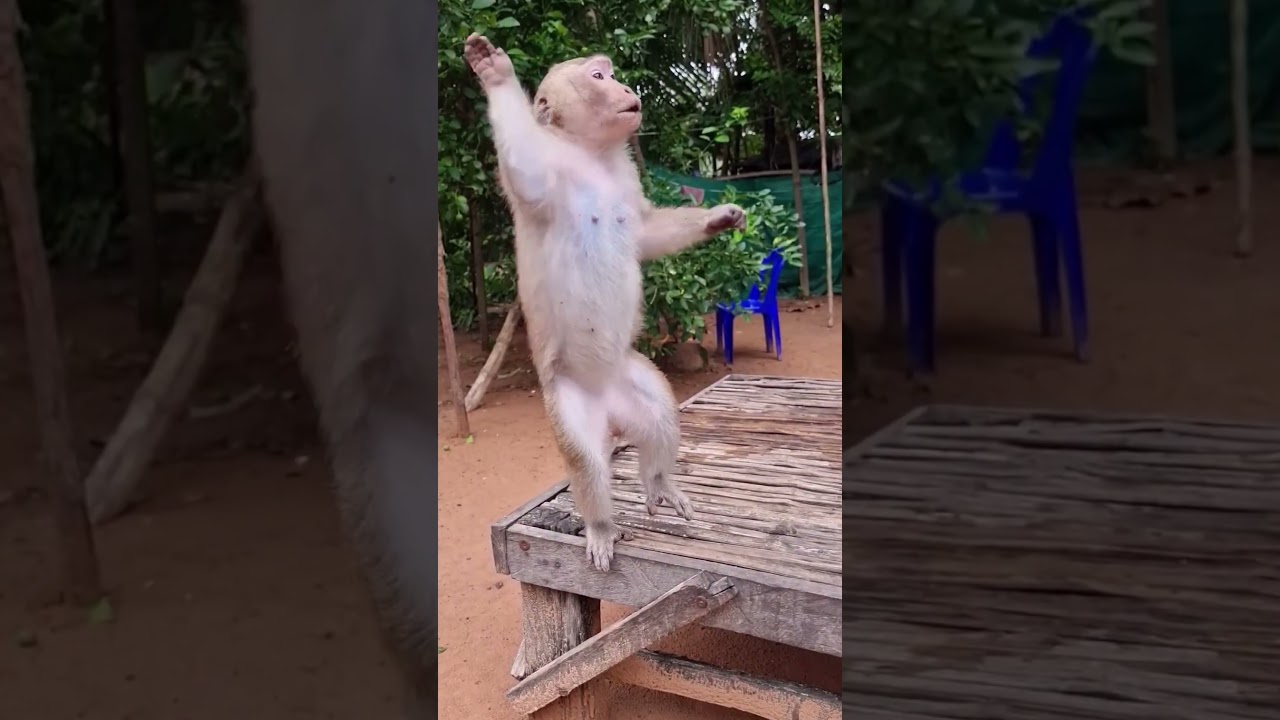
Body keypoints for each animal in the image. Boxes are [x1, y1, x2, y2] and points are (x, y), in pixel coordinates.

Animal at [465, 35, 747, 572]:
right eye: (598, 77)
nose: (627, 88)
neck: (590, 157)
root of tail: (608, 409)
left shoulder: (626, 179)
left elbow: (644, 234)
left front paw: (718, 218)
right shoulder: (546, 173)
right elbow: (525, 172)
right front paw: (494, 71)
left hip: (629, 379)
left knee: (660, 416)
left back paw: (658, 479)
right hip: (567, 399)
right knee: (586, 461)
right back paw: (599, 525)